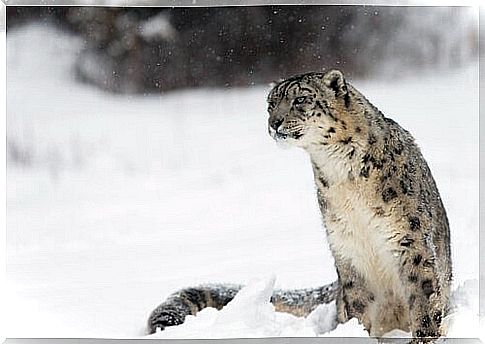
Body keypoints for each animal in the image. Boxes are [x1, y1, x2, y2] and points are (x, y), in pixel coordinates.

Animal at [146, 68, 452, 340]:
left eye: (301, 99)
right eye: (270, 104)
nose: (274, 123)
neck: (342, 174)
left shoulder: (408, 237)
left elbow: (423, 297)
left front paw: (423, 337)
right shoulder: (347, 246)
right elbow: (359, 304)